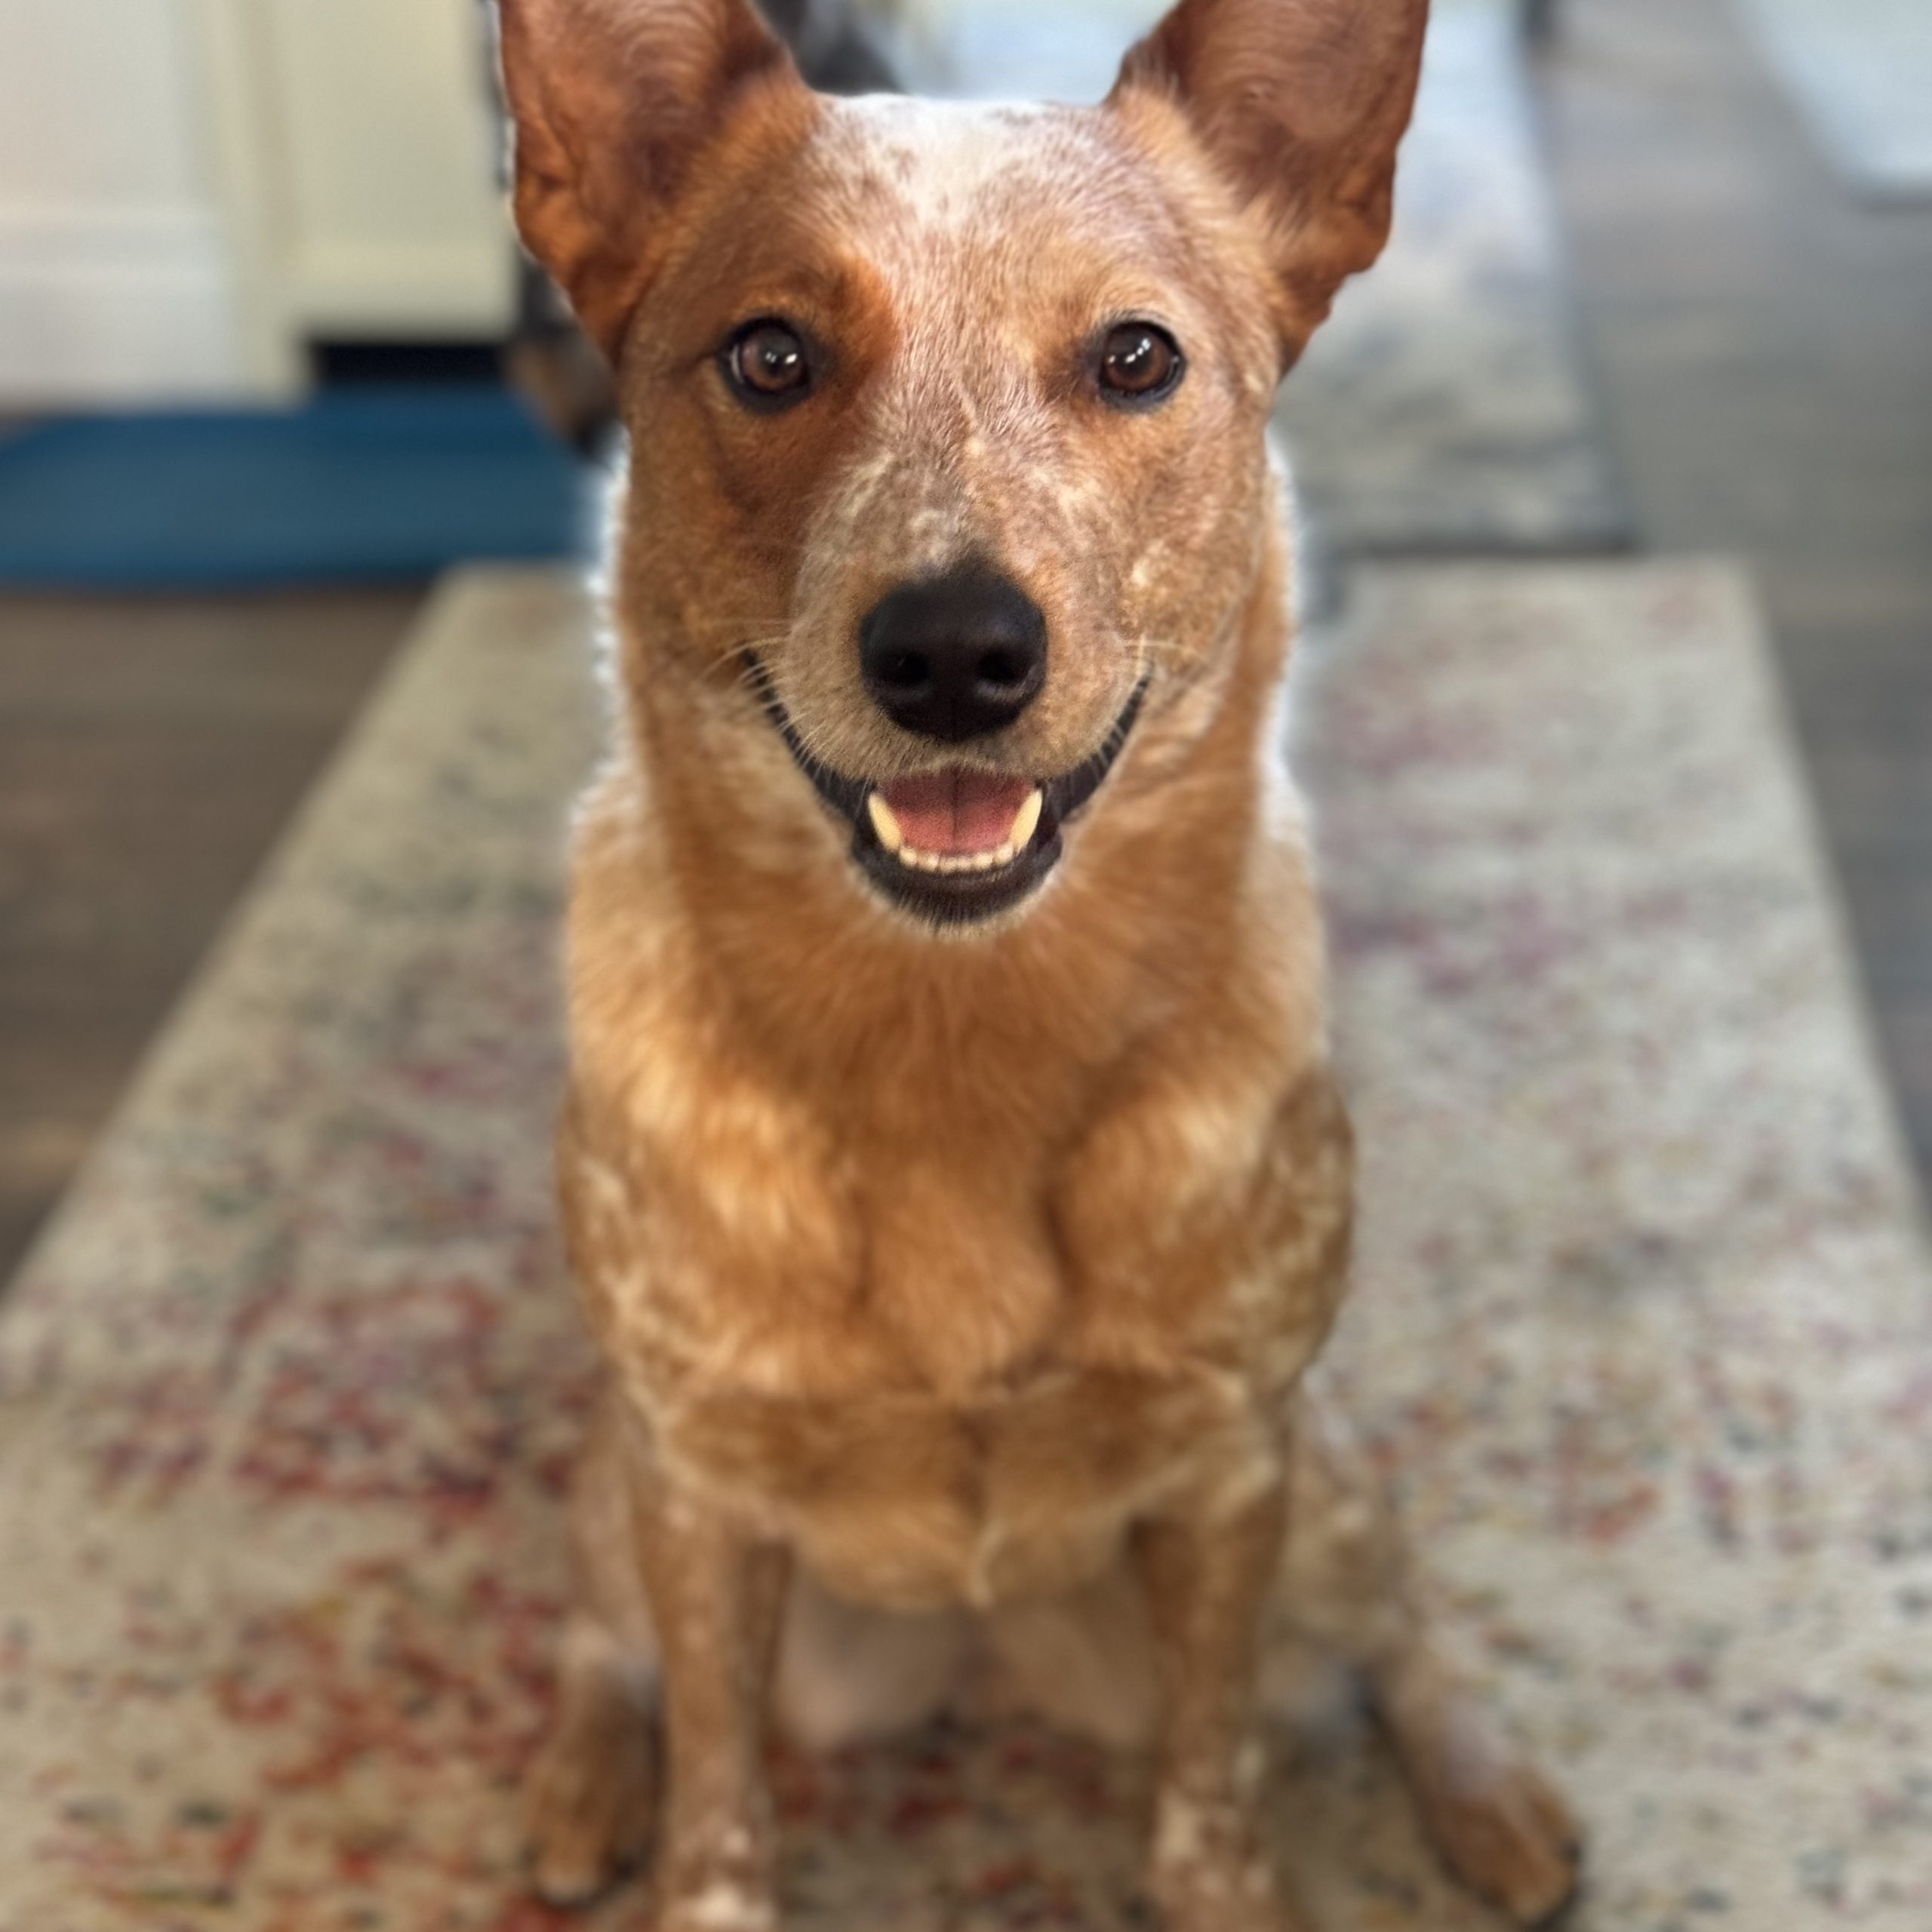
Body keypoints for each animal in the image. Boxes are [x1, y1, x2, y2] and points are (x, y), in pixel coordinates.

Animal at [494, 0, 1583, 1925]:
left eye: (1134, 357)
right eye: (768, 355)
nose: (950, 649)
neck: (955, 1042)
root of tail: (987, 1658)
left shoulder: (1232, 1461)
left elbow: (1214, 1779)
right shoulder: (691, 1481)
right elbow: (718, 1803)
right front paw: (670, 1829)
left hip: (1324, 1488)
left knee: (1399, 1638)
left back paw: (1490, 1799)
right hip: (636, 1507)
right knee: (604, 1650)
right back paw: (578, 1778)